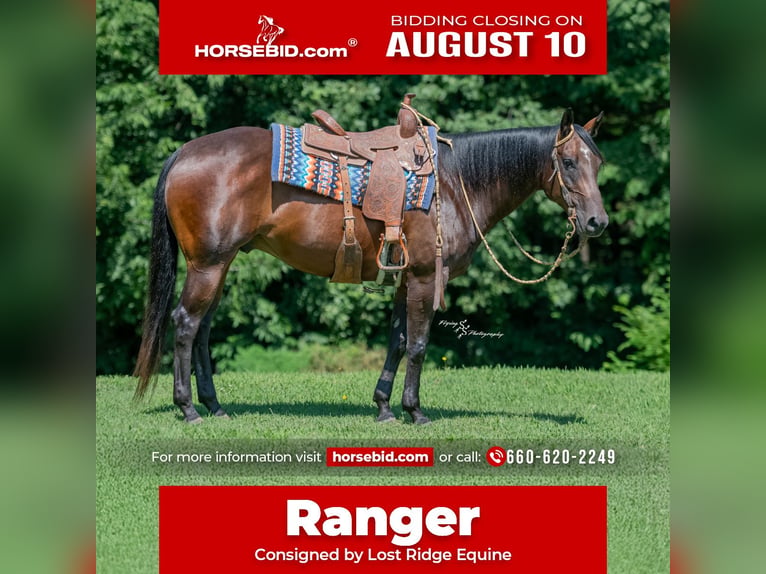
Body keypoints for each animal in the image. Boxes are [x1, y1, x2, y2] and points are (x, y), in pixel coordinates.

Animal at [133, 108, 608, 424]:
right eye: (568, 163)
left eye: (598, 163)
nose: (596, 222)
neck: (456, 185)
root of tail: (183, 153)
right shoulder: (424, 277)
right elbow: (418, 345)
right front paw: (415, 412)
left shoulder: (405, 279)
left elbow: (397, 342)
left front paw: (383, 407)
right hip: (208, 265)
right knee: (185, 324)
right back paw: (189, 408)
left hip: (220, 264)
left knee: (202, 330)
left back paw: (214, 406)